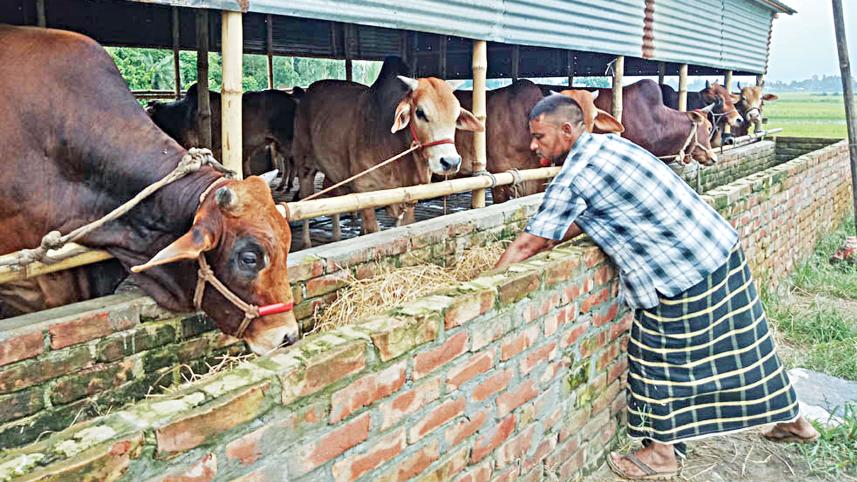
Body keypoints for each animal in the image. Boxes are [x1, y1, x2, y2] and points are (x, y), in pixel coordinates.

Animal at [291, 56, 483, 247]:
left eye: (456, 115)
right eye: (420, 112)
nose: (450, 162)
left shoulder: (408, 199)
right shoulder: (365, 190)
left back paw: (337, 237)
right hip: (304, 165)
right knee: (306, 199)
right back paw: (306, 242)